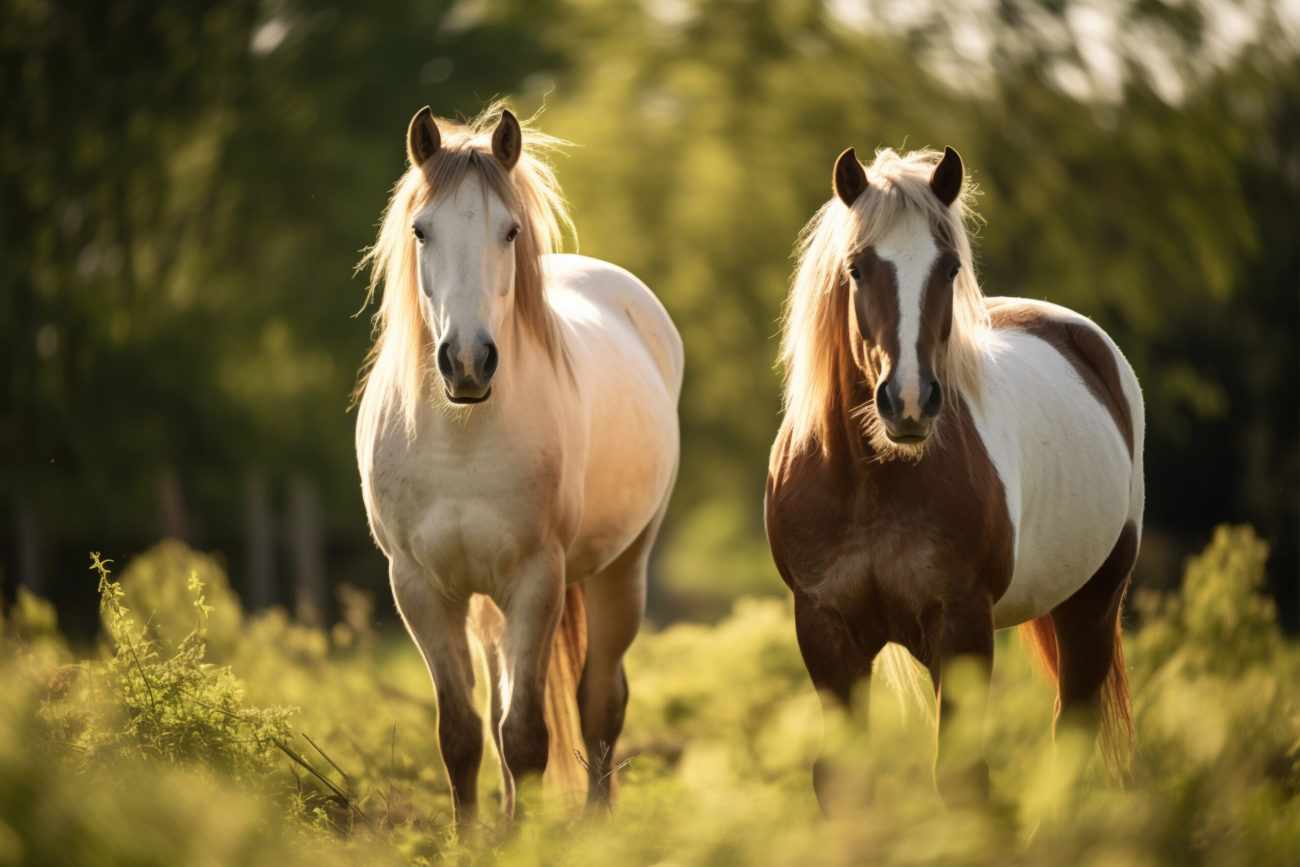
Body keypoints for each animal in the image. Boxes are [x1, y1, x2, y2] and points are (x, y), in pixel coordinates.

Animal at [356, 103, 681, 826]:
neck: (460, 440)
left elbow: (529, 736)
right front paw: (475, 838)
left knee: (599, 703)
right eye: (421, 230)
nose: (467, 362)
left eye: (509, 231)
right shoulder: (419, 587)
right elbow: (463, 734)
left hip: (622, 568)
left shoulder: (536, 580)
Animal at [764, 145, 1144, 811]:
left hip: (1094, 603)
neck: (871, 484)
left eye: (948, 269)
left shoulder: (961, 625)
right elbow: (845, 781)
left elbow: (963, 778)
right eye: (856, 268)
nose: (910, 402)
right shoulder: (825, 628)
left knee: (1071, 735)